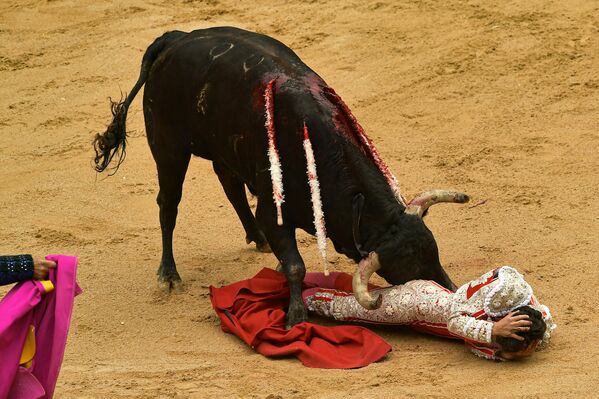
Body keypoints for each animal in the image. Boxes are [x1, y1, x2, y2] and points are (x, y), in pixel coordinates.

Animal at [95, 27, 468, 328]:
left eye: (433, 252)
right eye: (406, 274)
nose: (449, 290)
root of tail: (175, 40)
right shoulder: (274, 212)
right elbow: (295, 266)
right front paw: (296, 316)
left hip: (225, 148)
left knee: (229, 183)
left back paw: (255, 238)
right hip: (168, 145)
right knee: (168, 203)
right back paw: (169, 275)